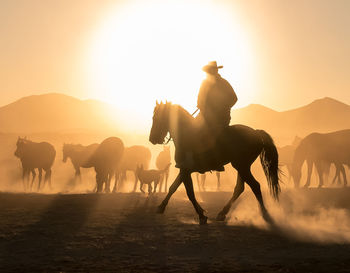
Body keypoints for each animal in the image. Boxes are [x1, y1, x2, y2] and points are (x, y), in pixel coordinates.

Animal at [149, 101, 280, 224]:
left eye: (157, 118)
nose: (152, 139)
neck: (186, 135)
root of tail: (256, 133)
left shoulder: (186, 169)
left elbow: (190, 193)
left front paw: (201, 215)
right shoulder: (184, 169)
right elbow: (173, 187)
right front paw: (161, 207)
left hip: (241, 166)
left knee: (255, 186)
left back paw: (264, 214)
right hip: (242, 166)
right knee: (240, 188)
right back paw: (222, 213)